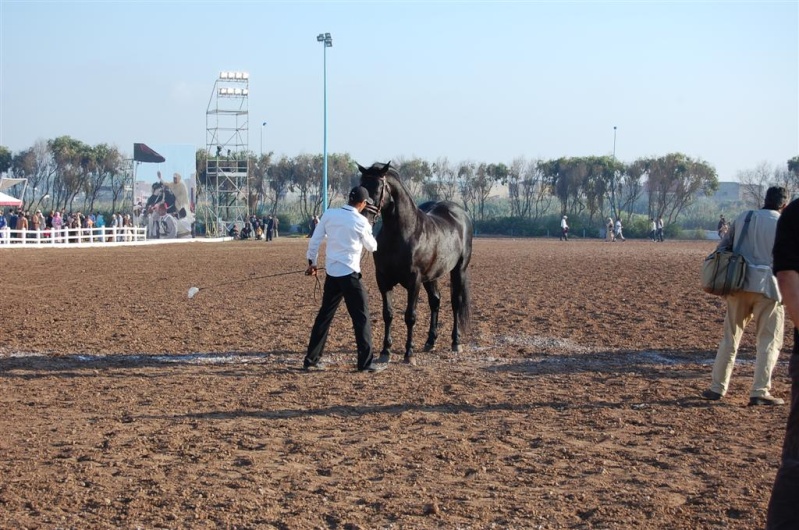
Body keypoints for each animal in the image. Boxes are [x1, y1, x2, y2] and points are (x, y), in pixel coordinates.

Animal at [358, 161, 472, 364]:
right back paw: (430, 341)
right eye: (362, 184)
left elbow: (410, 316)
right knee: (435, 301)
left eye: (378, 187)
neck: (402, 233)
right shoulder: (383, 280)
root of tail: (460, 213)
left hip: (459, 271)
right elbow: (388, 314)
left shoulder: (414, 281)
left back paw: (455, 342)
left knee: (455, 303)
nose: (364, 215)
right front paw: (385, 351)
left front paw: (408, 353)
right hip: (432, 276)